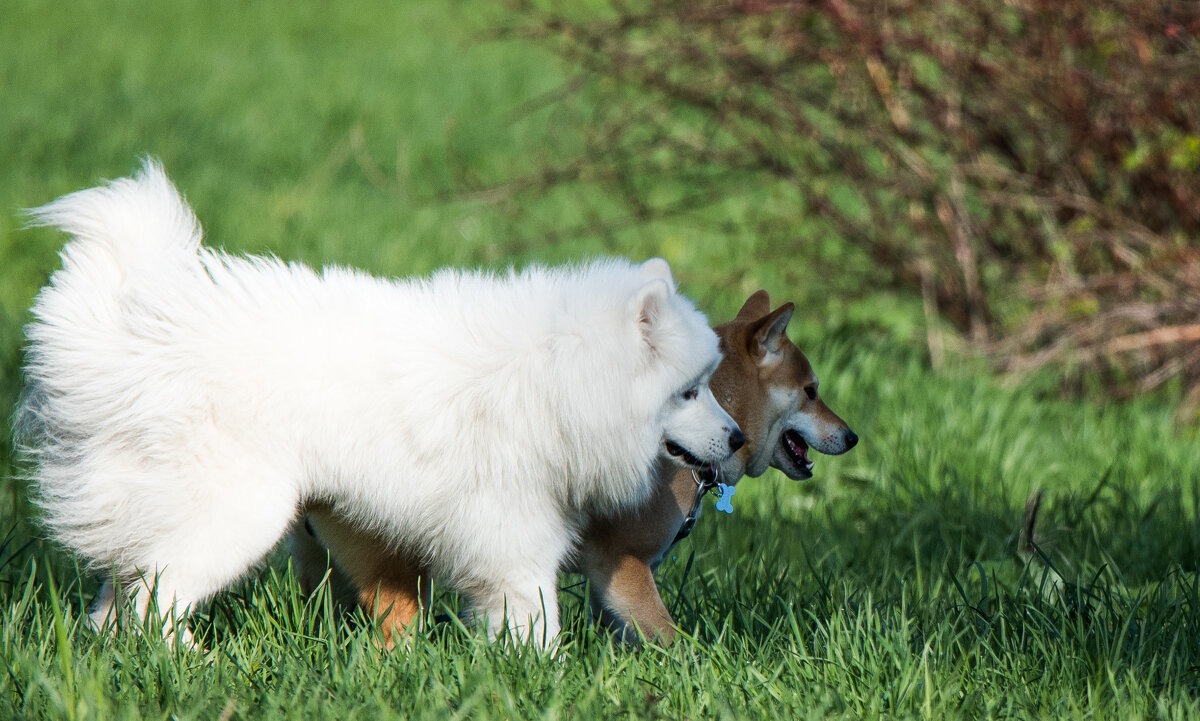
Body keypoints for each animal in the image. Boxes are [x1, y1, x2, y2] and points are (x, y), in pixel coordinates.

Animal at [16, 161, 739, 647]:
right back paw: (197, 661)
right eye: (689, 390)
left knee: (115, 605)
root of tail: (122, 344)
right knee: (152, 603)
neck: (556, 378)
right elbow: (535, 619)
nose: (735, 438)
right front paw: (543, 678)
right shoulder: (513, 536)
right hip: (235, 517)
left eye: (708, 383)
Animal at [286, 289, 859, 643]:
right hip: (399, 570)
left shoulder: (612, 584)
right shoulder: (622, 566)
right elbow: (673, 641)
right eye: (812, 391)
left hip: (326, 568)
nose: (852, 436)